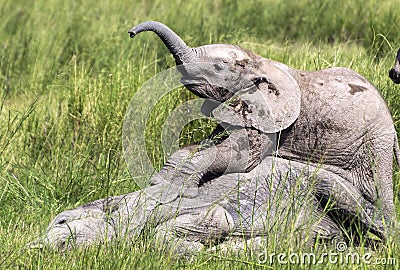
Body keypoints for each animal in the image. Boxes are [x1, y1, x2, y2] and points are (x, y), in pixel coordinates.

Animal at [128, 22, 400, 239]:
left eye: (218, 67)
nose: (131, 32)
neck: (260, 63)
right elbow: (210, 143)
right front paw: (160, 181)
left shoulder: (273, 120)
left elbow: (241, 160)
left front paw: (173, 188)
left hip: (376, 142)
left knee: (377, 192)